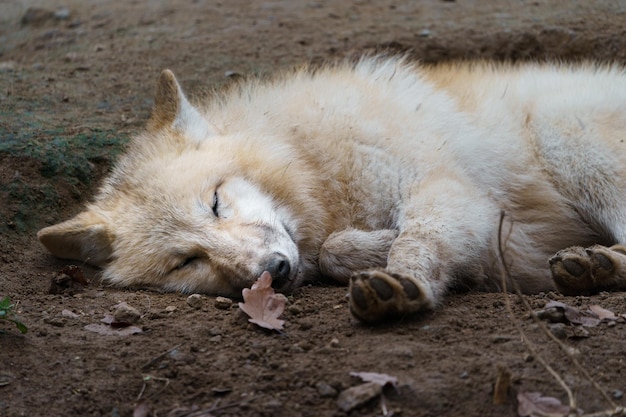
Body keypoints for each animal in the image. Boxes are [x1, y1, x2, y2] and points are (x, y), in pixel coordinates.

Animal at [37, 55, 624, 322]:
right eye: (186, 261)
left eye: (216, 202)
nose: (273, 271)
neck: (310, 157)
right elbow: (336, 249)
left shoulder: (445, 188)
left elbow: (415, 237)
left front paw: (402, 278)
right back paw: (591, 266)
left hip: (567, 140)